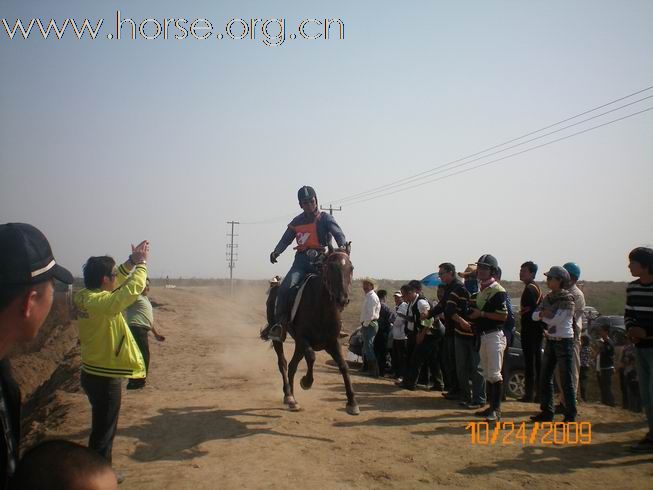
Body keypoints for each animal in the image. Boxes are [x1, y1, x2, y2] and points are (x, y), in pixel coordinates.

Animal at [268, 249, 360, 414]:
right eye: (330, 267)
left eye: (351, 268)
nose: (342, 299)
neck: (321, 308)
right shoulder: (304, 339)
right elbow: (311, 357)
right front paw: (306, 382)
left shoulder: (332, 342)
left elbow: (344, 366)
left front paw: (352, 402)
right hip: (279, 339)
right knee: (283, 363)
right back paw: (289, 395)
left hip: (298, 346)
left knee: (292, 366)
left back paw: (292, 398)